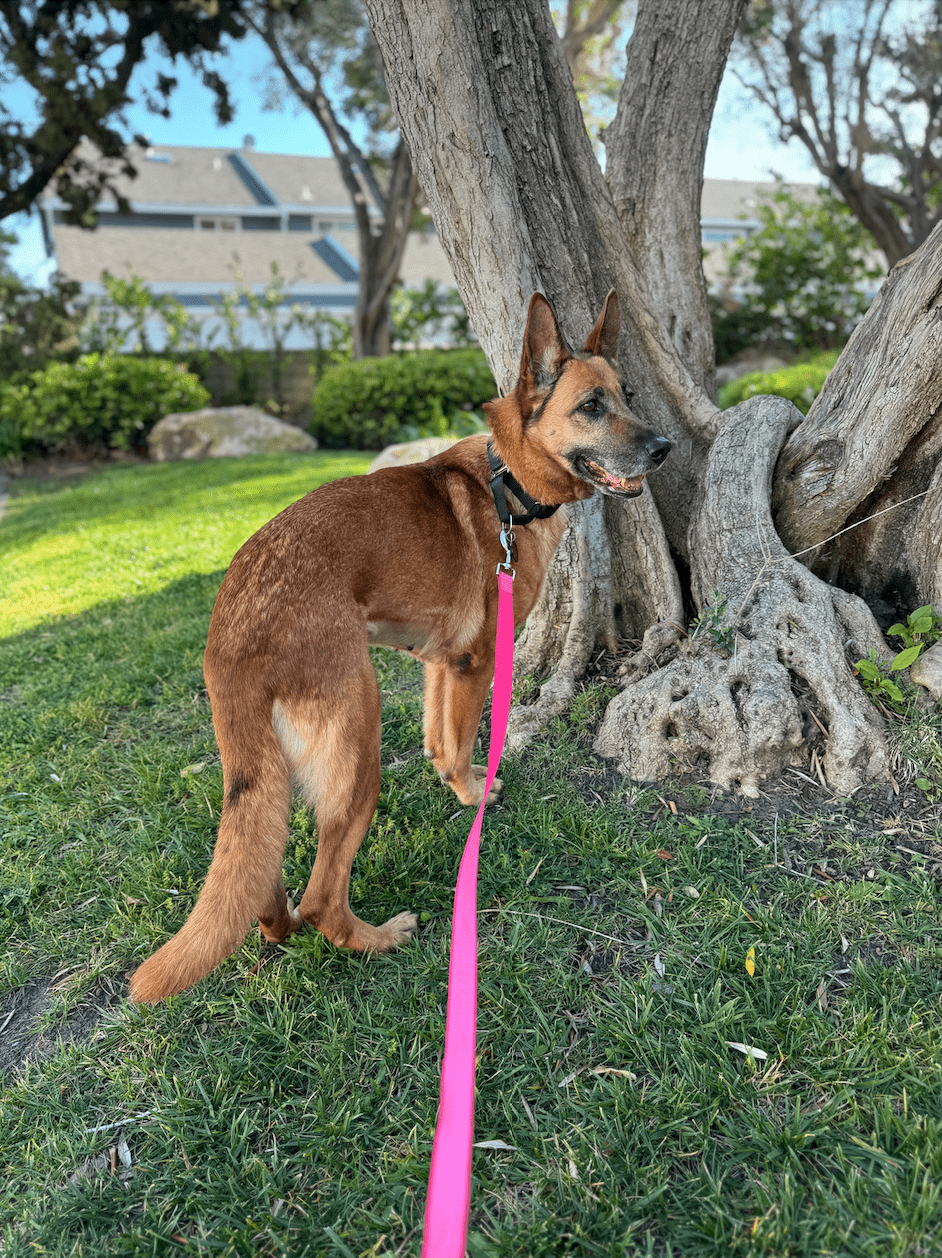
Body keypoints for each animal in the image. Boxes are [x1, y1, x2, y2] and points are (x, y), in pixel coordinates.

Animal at [128, 288, 669, 1001]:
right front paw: (473, 794)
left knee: (261, 878)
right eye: (591, 407)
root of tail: (231, 630)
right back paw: (379, 937)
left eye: (628, 396)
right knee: (321, 897)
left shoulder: (443, 661)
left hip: (265, 776)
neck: (510, 481)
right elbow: (465, 739)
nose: (664, 447)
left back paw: (280, 925)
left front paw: (456, 779)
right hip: (360, 738)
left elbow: (441, 736)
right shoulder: (474, 661)